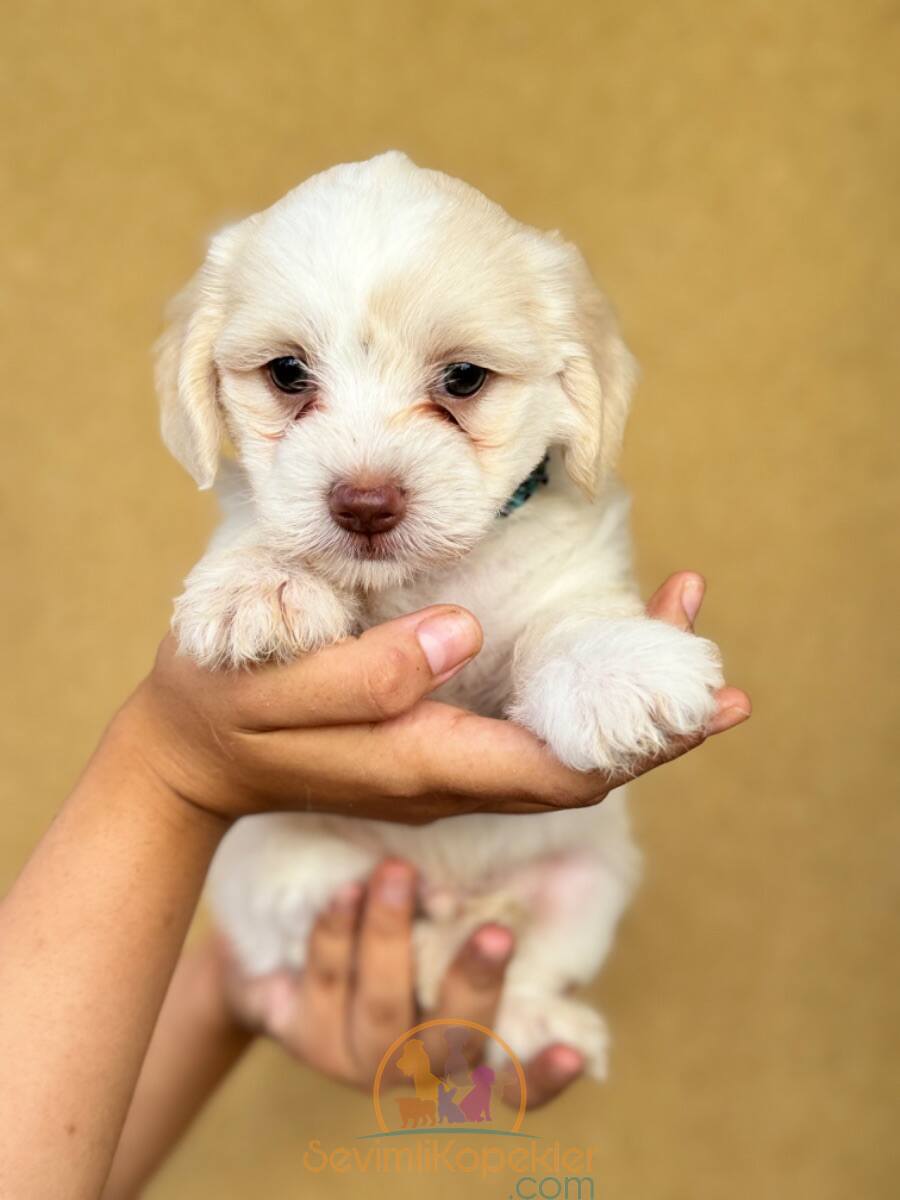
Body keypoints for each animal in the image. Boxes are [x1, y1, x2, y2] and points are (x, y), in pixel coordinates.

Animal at [157, 152, 724, 1080]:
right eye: (287, 373)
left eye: (462, 379)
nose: (363, 503)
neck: (427, 578)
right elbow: (261, 532)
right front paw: (262, 584)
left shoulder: (563, 577)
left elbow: (565, 622)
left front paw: (614, 672)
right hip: (278, 869)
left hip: (586, 882)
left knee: (523, 962)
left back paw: (533, 1022)